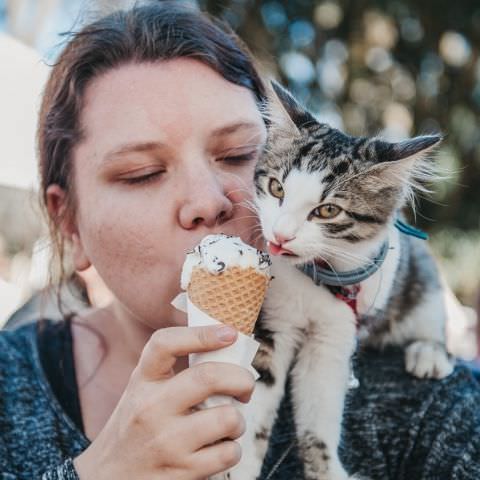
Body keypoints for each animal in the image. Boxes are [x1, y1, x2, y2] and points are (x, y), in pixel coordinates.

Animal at [225, 82, 454, 480]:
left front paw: (327, 470)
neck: (314, 277)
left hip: (421, 277)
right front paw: (239, 468)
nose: (280, 236)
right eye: (276, 188)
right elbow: (256, 400)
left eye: (328, 210)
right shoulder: (273, 323)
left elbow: (319, 411)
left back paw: (429, 354)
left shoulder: (334, 336)